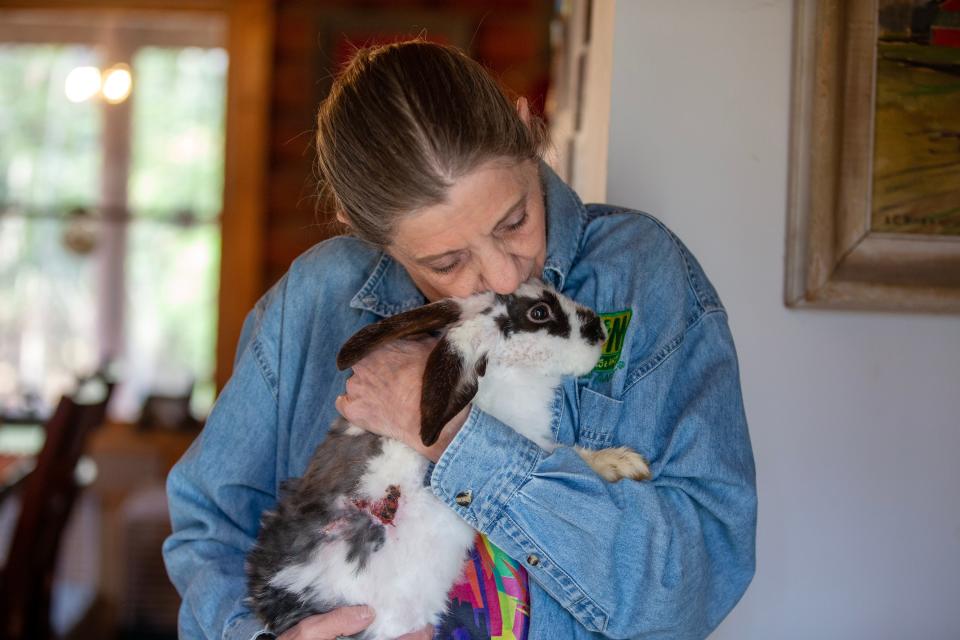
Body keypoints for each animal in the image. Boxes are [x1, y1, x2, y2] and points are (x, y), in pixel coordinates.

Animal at [248, 278, 652, 636]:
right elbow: (562, 455)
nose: (599, 329)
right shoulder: (529, 438)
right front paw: (623, 463)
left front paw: (623, 463)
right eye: (540, 312)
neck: (505, 369)